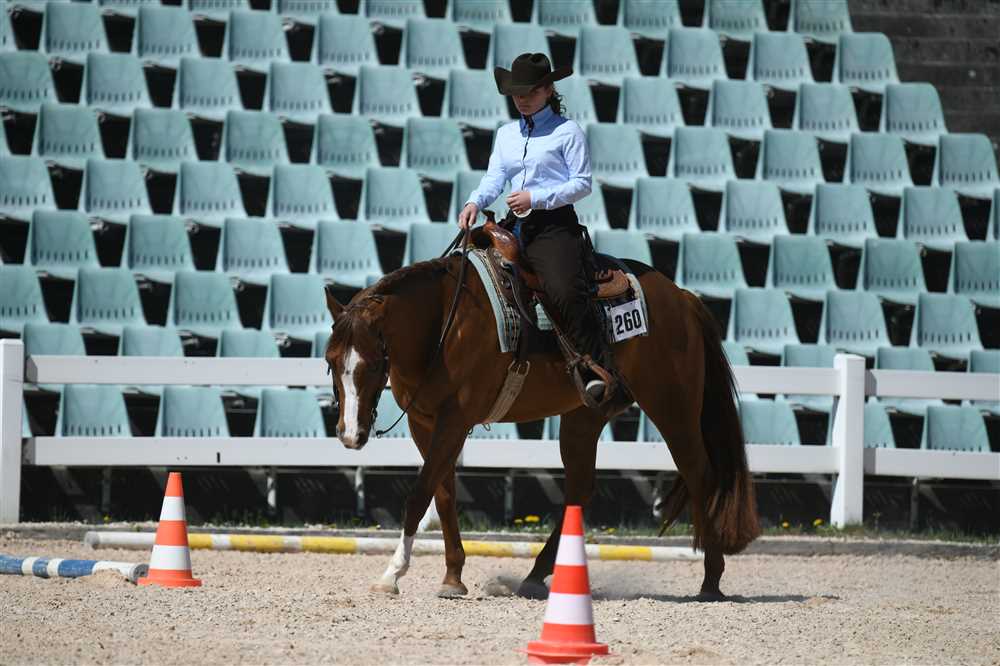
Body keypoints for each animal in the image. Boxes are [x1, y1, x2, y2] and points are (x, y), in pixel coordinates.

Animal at [321, 248, 760, 601]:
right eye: (330, 360)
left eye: (374, 363)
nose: (350, 435)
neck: (444, 323)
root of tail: (682, 298)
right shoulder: (423, 422)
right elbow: (441, 494)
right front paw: (452, 577)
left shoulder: (454, 419)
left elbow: (419, 493)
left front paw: (391, 574)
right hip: (585, 414)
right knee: (581, 487)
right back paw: (535, 575)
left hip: (672, 405)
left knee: (701, 474)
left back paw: (711, 582)